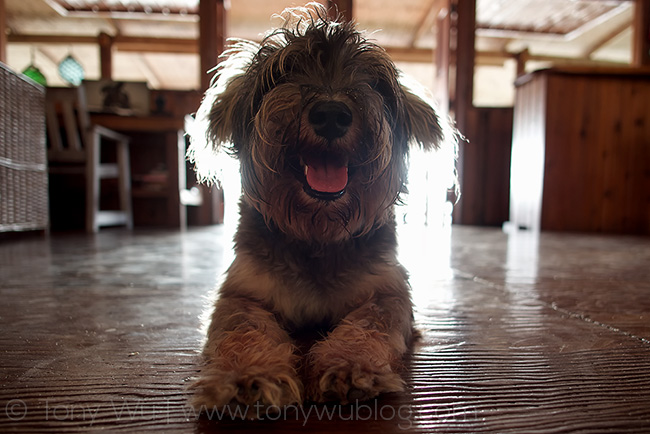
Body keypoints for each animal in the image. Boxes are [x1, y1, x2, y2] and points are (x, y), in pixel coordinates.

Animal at [187, 3, 450, 418]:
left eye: (374, 82)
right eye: (282, 73)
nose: (331, 114)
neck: (317, 235)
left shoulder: (389, 291)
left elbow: (370, 322)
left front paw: (351, 365)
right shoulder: (241, 292)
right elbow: (242, 328)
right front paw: (248, 377)